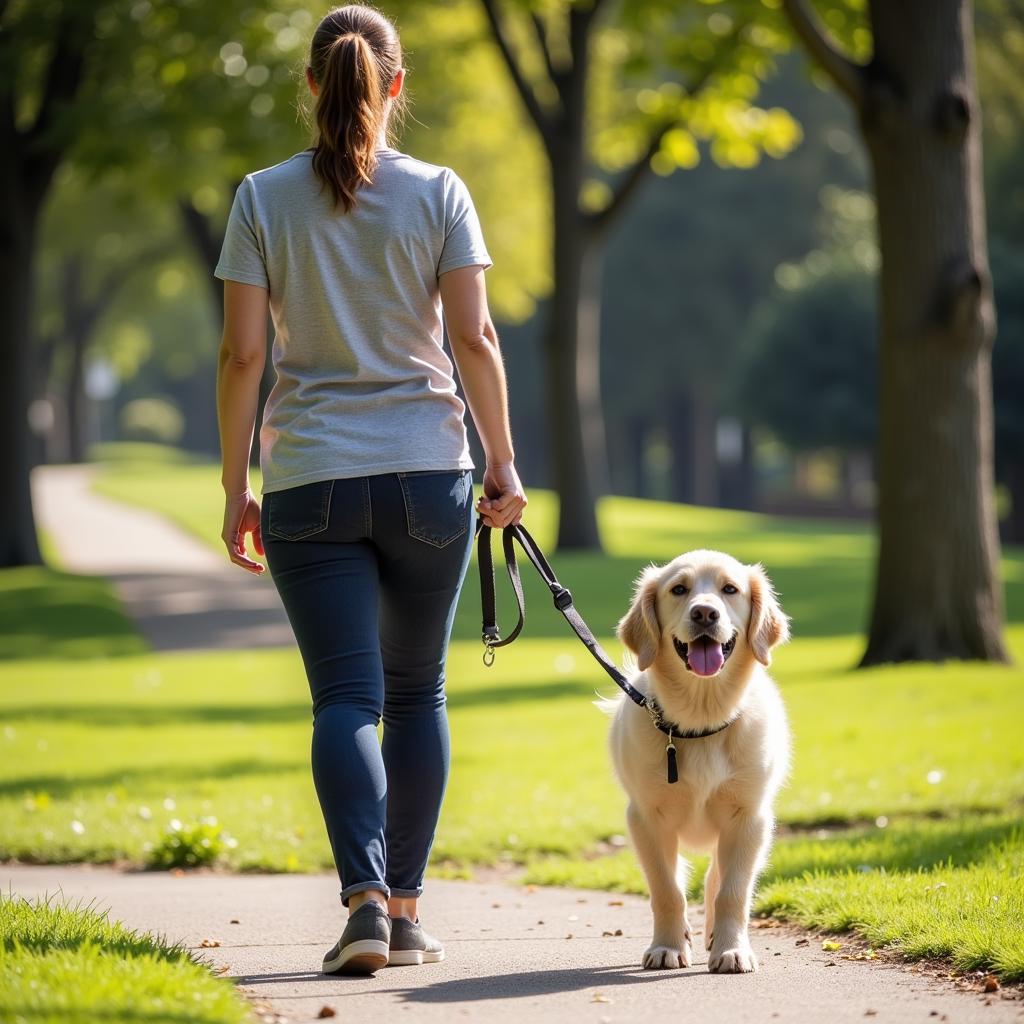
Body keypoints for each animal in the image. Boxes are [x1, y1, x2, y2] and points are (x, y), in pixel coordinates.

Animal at [598, 552, 790, 974]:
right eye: (679, 589)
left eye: (730, 589)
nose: (704, 613)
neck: (702, 720)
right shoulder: (646, 819)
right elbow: (667, 890)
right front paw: (667, 947)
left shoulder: (749, 818)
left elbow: (732, 891)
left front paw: (732, 950)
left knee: (716, 879)